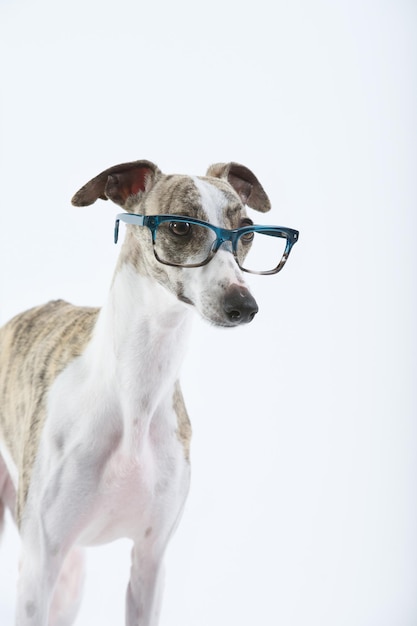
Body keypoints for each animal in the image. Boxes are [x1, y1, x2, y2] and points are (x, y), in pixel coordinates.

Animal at [0, 161, 300, 624]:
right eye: (180, 225)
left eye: (247, 230)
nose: (244, 307)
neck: (136, 391)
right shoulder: (40, 564)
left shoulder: (151, 559)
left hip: (70, 578)